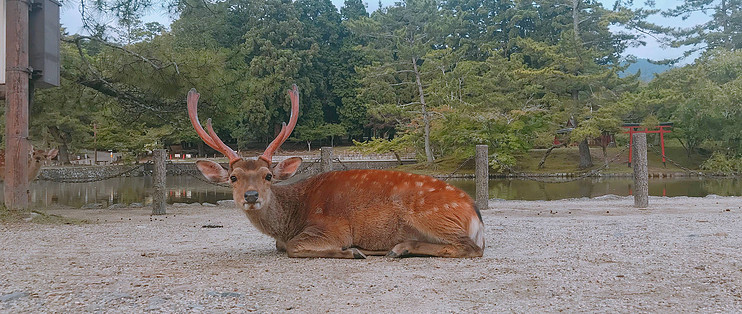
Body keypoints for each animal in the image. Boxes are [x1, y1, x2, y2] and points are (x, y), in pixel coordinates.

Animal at [189, 85, 486, 258]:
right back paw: (397, 249)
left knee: (472, 248)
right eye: (233, 177)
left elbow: (292, 247)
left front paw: (352, 251)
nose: (251, 196)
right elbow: (282, 245)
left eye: (268, 176)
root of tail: (475, 212)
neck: (291, 220)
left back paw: (395, 248)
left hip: (432, 216)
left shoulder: (332, 228)